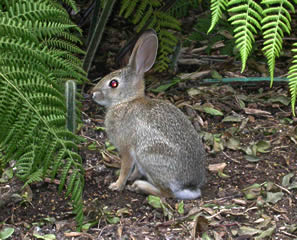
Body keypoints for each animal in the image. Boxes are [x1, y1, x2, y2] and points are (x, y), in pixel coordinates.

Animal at [91, 29, 205, 199]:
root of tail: (189, 186)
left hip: (149, 155)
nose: (93, 94)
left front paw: (117, 185)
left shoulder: (127, 149)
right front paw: (129, 179)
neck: (126, 101)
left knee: (167, 193)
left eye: (113, 83)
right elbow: (135, 170)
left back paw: (140, 186)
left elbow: (126, 168)